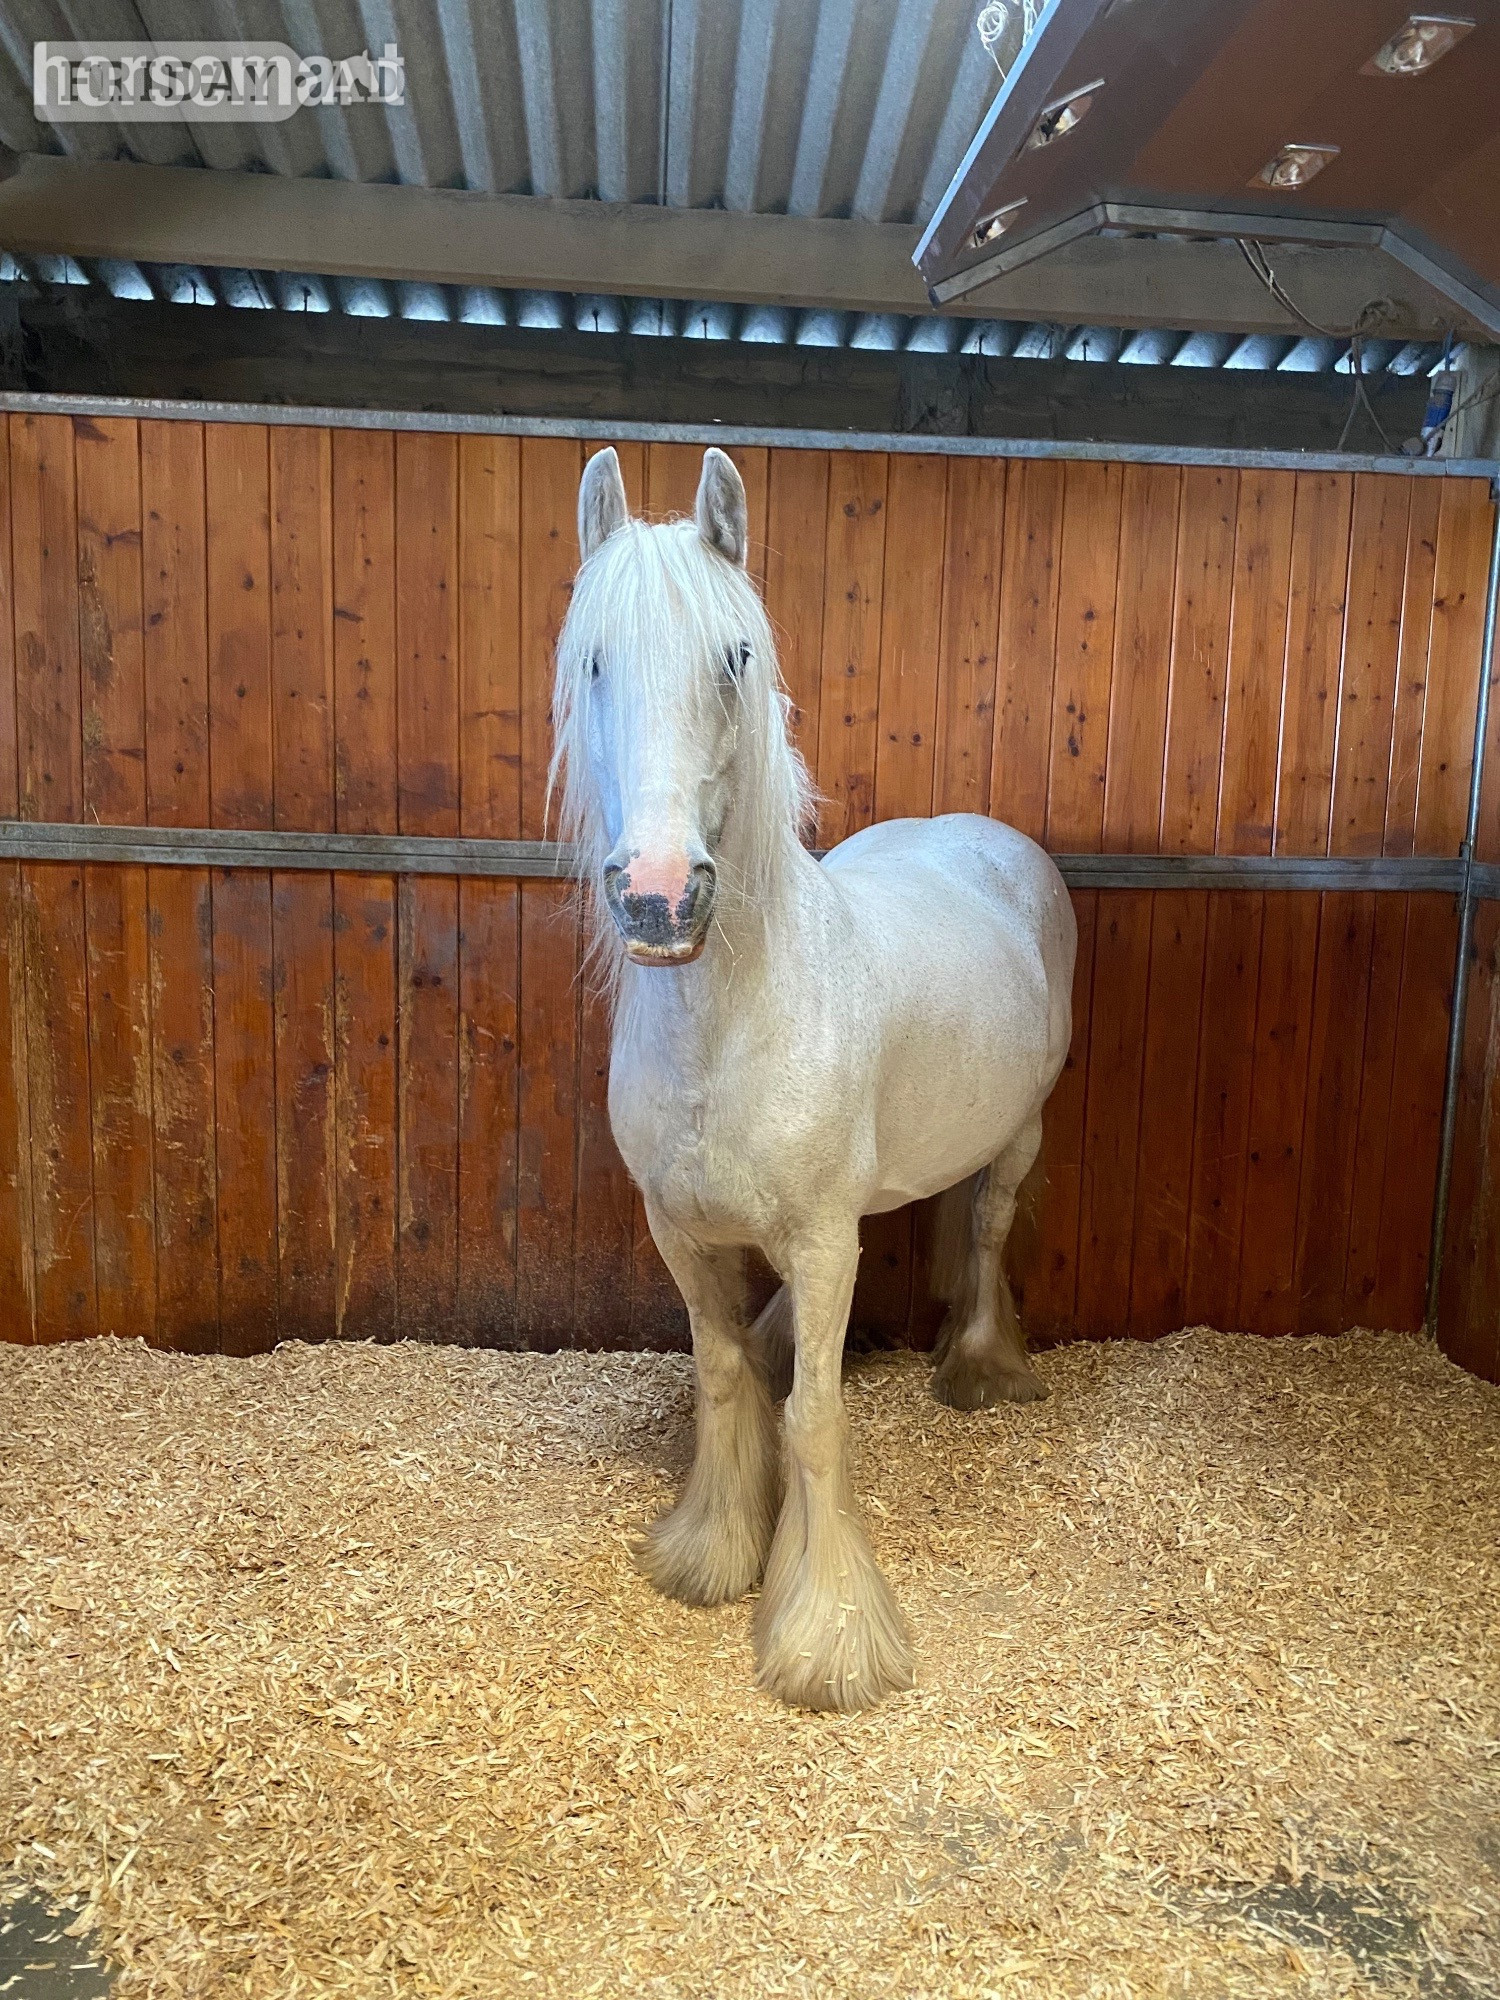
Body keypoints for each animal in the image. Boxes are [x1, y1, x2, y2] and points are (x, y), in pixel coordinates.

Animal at [550, 445, 1076, 1712]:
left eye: (735, 655)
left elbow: (818, 1418)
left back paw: (978, 1367)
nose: (659, 896)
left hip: (1021, 1133)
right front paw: (710, 1551)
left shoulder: (826, 1236)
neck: (730, 1021)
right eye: (594, 657)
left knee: (987, 1227)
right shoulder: (682, 1232)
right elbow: (727, 1376)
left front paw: (827, 1635)